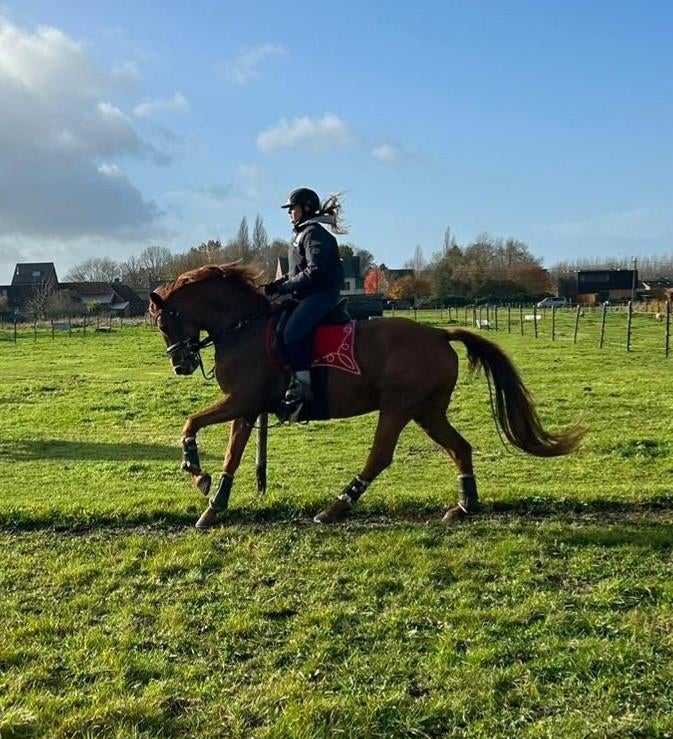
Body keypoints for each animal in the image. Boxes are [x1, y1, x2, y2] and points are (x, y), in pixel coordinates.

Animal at [148, 263, 584, 529]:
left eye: (164, 322)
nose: (180, 364)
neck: (243, 327)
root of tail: (440, 334)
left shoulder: (241, 402)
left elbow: (191, 423)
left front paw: (196, 472)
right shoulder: (247, 408)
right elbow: (231, 455)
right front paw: (213, 502)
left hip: (398, 407)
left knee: (380, 456)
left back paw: (335, 507)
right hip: (427, 411)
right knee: (459, 447)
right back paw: (463, 505)